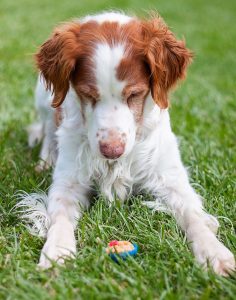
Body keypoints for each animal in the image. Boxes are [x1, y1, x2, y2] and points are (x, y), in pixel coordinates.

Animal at [19, 11, 234, 274]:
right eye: (87, 94)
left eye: (134, 94)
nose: (112, 151)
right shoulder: (69, 182)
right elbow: (59, 217)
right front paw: (56, 252)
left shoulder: (170, 178)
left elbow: (192, 213)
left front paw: (215, 252)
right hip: (44, 96)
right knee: (49, 129)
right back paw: (45, 160)